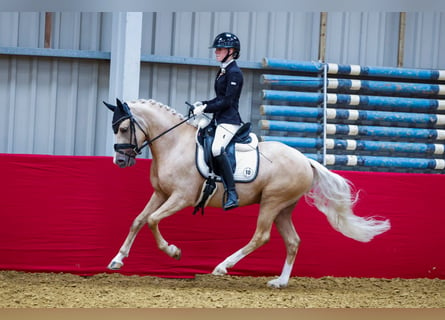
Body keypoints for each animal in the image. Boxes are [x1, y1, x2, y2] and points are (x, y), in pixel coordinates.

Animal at [104, 97, 388, 288]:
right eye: (115, 128)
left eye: (124, 128)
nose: (120, 161)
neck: (175, 144)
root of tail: (306, 161)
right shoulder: (161, 194)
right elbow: (138, 220)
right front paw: (117, 260)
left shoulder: (181, 197)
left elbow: (152, 220)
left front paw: (174, 251)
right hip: (283, 209)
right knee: (293, 241)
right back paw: (280, 282)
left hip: (272, 202)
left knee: (261, 236)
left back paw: (222, 266)